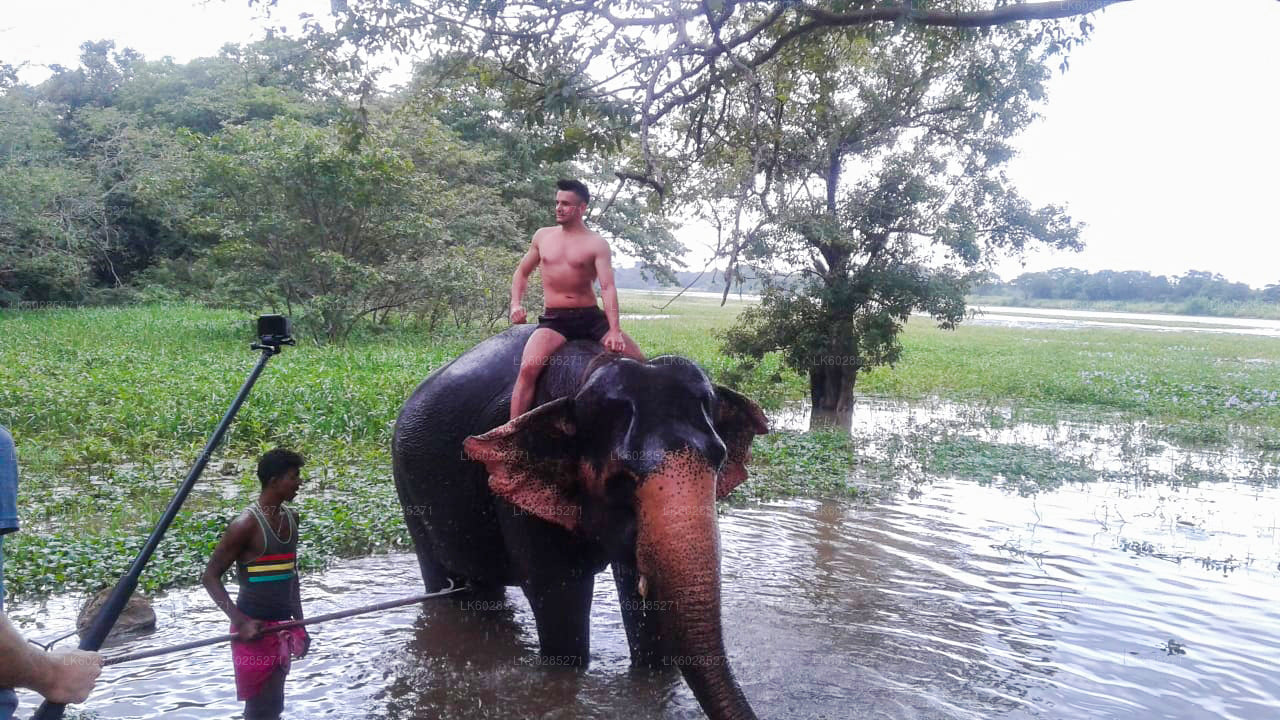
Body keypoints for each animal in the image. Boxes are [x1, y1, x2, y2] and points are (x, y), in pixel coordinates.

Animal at [391, 324, 769, 720]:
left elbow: (640, 593)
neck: (587, 375)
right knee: (447, 584)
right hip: (408, 492)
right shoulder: (514, 495)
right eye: (620, 480)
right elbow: (560, 595)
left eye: (720, 458)